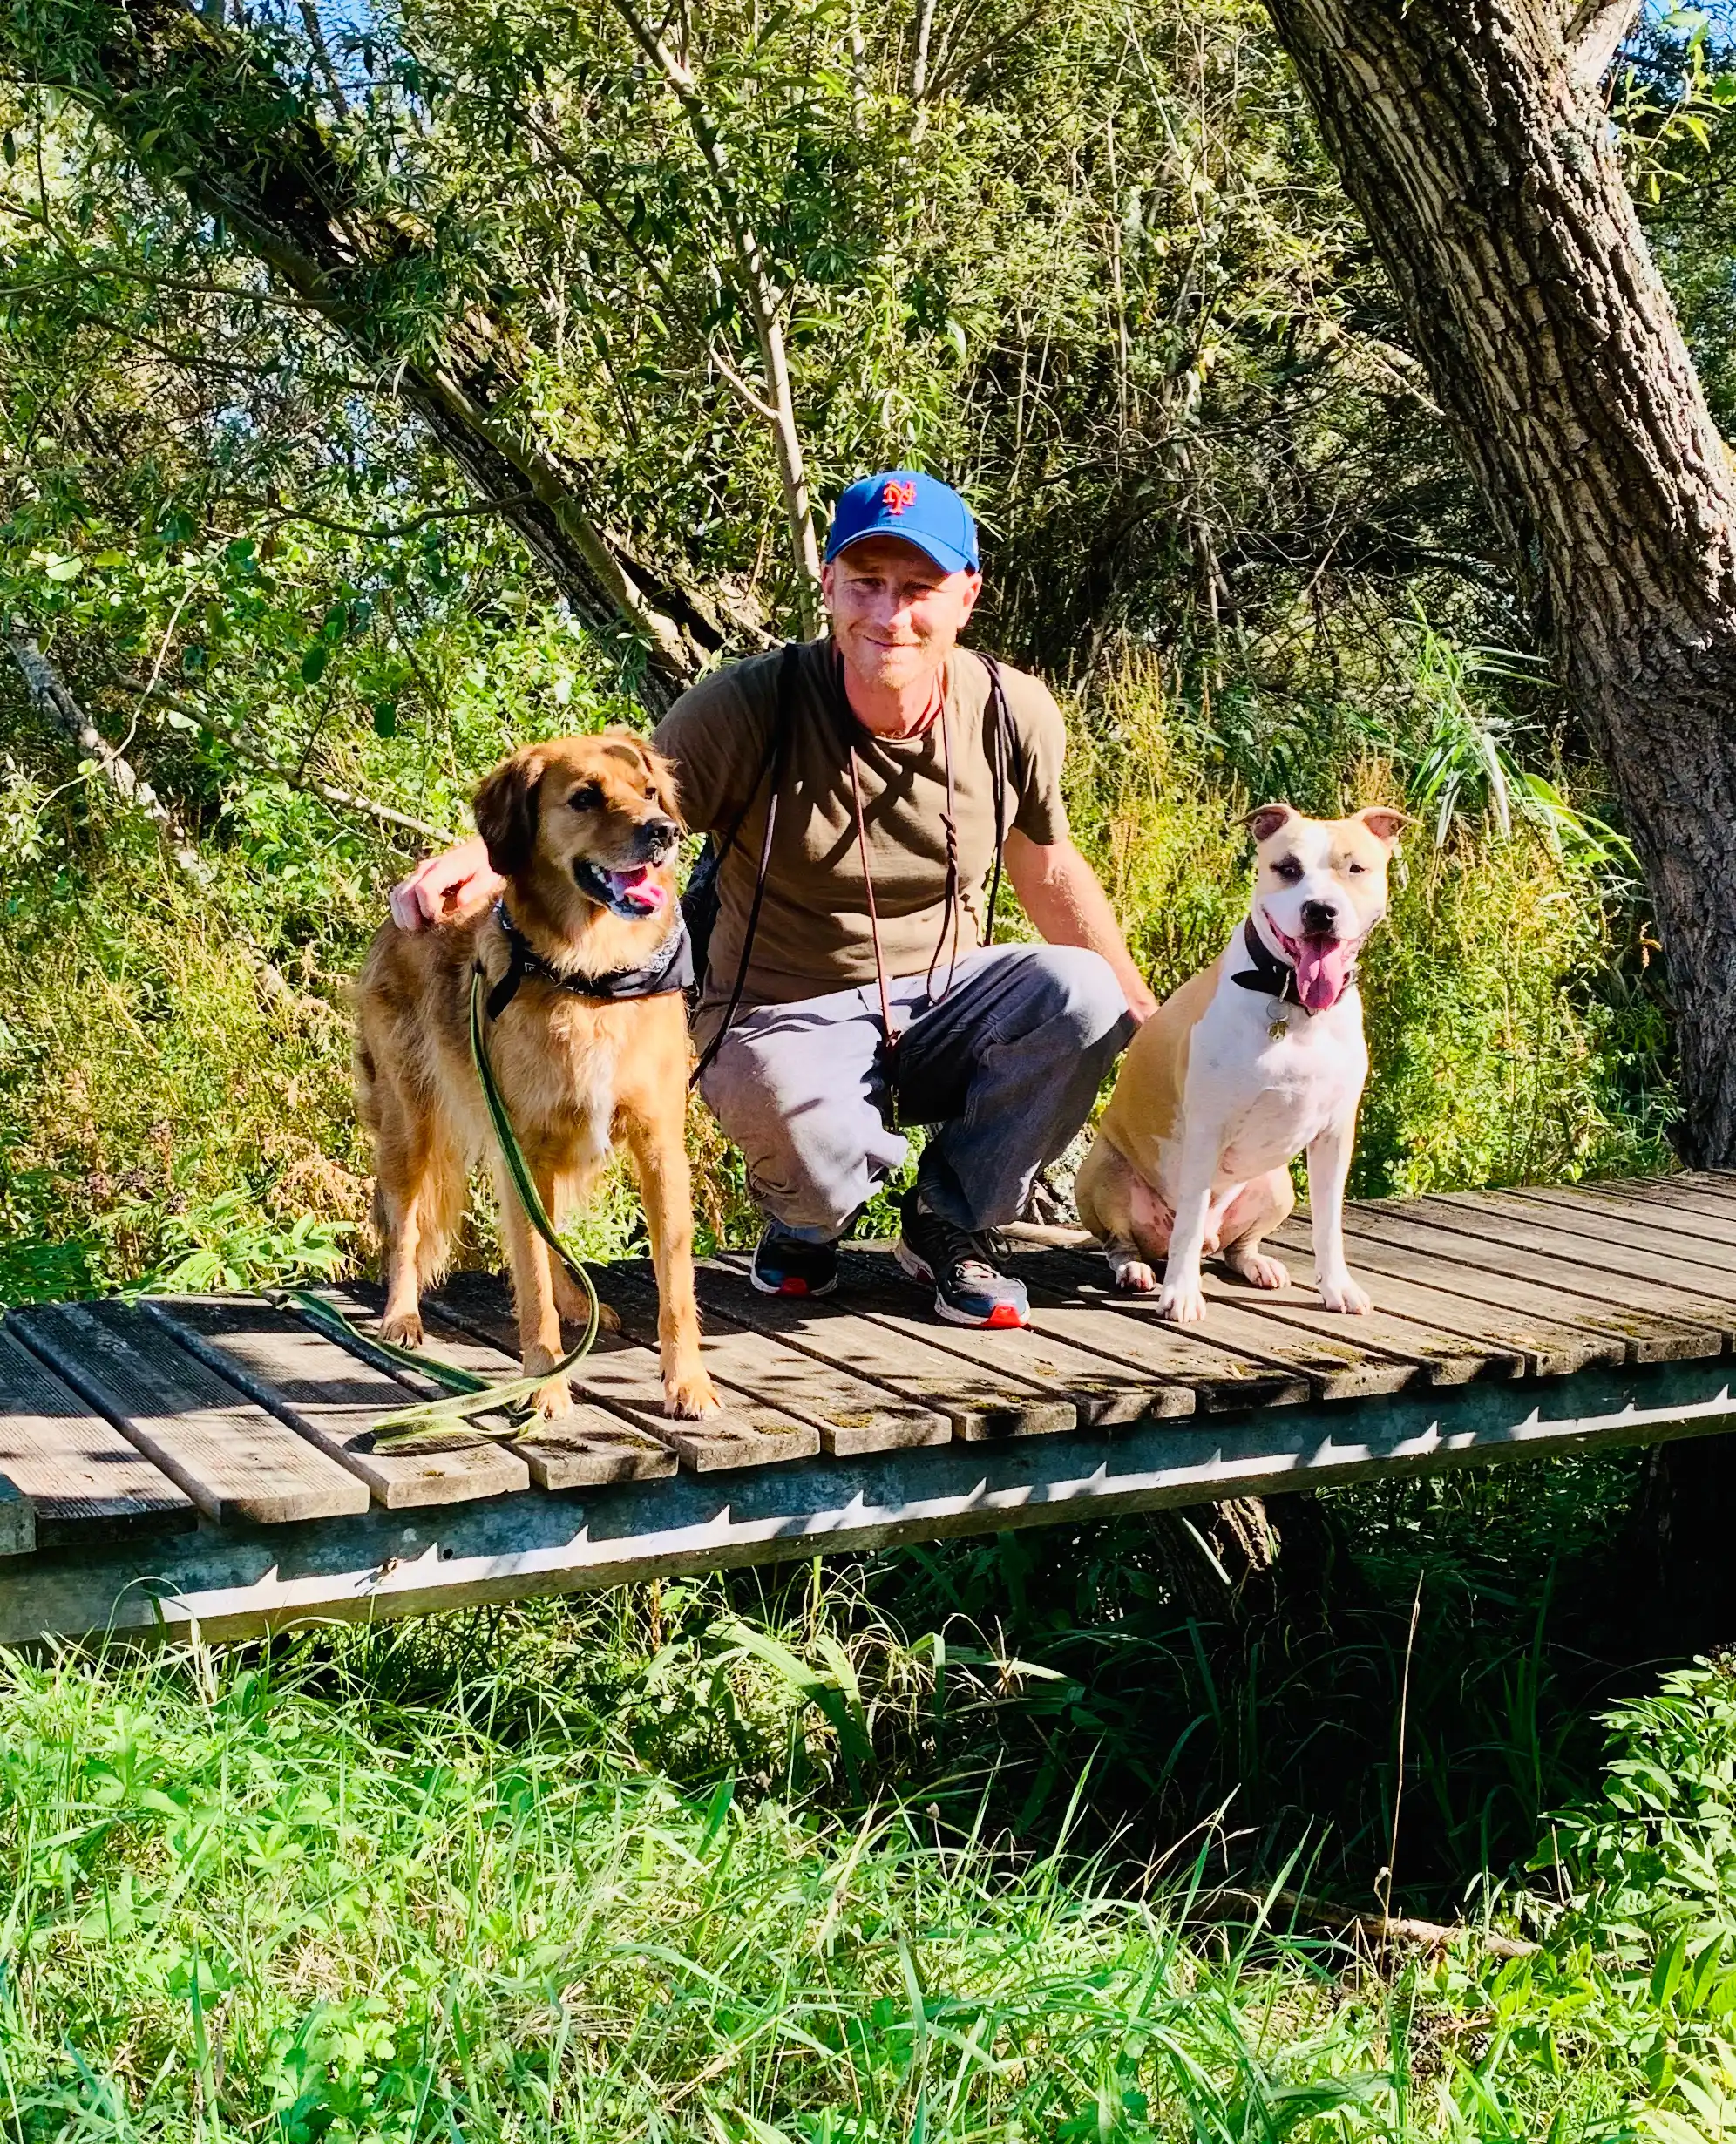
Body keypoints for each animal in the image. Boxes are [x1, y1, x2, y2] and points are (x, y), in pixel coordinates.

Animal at [356, 729, 711, 1415]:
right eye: (584, 798)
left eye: (649, 792)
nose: (663, 833)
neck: (591, 977)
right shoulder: (520, 1147)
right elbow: (531, 1278)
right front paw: (545, 1381)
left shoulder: (659, 1148)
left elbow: (675, 1284)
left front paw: (689, 1383)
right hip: (410, 1124)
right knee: (407, 1229)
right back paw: (402, 1317)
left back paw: (579, 1305)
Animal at [1075, 805, 1397, 1320]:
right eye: (1287, 868)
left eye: (1355, 868)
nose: (1320, 910)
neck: (1290, 1001)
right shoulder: (1207, 1129)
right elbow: (1187, 1225)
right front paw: (1181, 1294)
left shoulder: (1334, 1135)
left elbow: (1329, 1225)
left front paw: (1338, 1288)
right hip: (1104, 1172)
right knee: (1126, 1241)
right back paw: (1137, 1270)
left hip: (1278, 1186)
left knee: (1234, 1246)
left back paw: (1257, 1264)